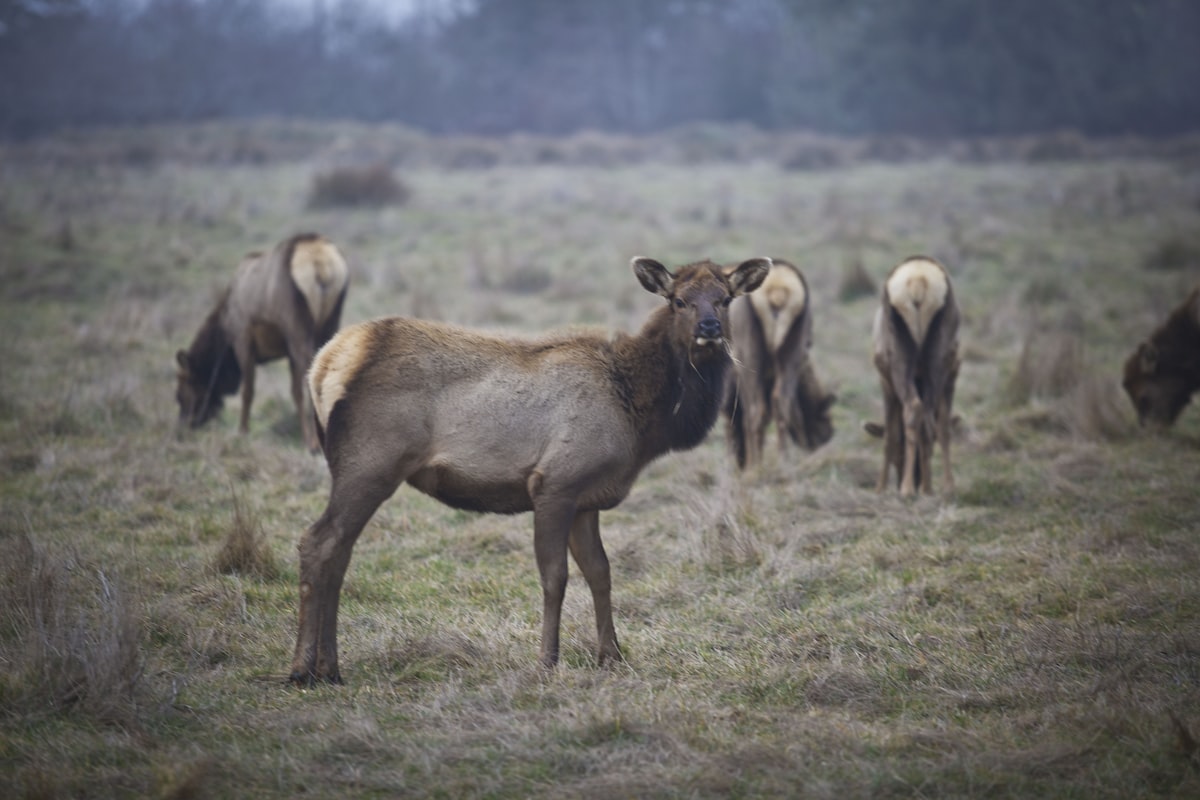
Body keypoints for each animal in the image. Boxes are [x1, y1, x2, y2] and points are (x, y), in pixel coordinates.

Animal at [174, 233, 349, 452]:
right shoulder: (286, 353)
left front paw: (242, 432)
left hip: (297, 327)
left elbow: (248, 392)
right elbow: (294, 393)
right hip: (330, 322)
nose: (183, 427)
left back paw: (315, 443)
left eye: (180, 392)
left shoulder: (243, 338)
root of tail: (321, 264)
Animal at [288, 256, 771, 685]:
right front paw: (547, 661)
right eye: (678, 300)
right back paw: (303, 670)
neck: (640, 415)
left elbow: (601, 572)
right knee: (318, 541)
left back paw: (330, 668)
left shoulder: (587, 499)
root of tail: (324, 365)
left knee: (340, 551)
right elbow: (555, 576)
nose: (708, 329)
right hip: (371, 462)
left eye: (725, 299)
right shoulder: (555, 483)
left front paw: (612, 656)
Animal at [723, 258, 835, 469]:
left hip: (748, 352)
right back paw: (783, 461)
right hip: (790, 349)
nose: (828, 435)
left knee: (756, 411)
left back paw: (754, 466)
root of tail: (777, 289)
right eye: (821, 418)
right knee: (780, 403)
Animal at [868, 256, 960, 497]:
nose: (917, 478)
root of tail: (918, 280)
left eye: (898, 455)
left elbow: (889, 434)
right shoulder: (952, 374)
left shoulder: (885, 381)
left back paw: (908, 489)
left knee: (913, 407)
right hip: (939, 362)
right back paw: (941, 486)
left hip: (900, 364)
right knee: (930, 417)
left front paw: (880, 487)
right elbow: (940, 427)